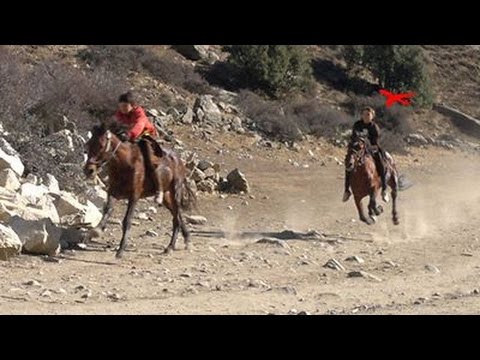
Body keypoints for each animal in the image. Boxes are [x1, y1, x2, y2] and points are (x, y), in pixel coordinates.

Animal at [83, 122, 196, 258]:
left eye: (100, 145)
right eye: (89, 144)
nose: (88, 170)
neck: (124, 163)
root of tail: (178, 160)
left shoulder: (134, 196)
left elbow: (127, 220)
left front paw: (121, 249)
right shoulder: (113, 192)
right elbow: (107, 210)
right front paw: (96, 231)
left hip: (176, 190)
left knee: (176, 217)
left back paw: (171, 246)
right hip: (167, 196)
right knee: (177, 215)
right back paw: (183, 241)